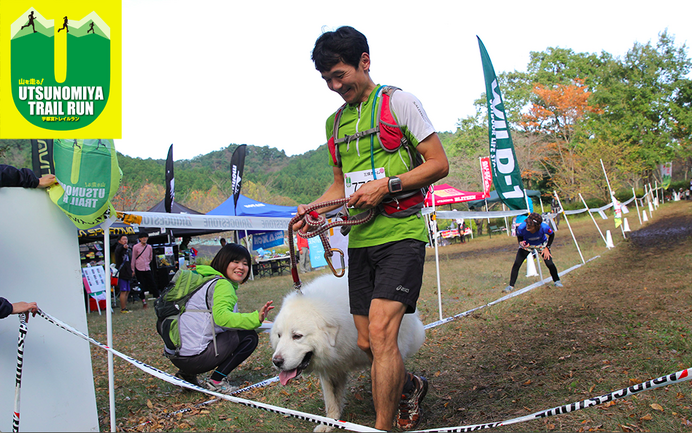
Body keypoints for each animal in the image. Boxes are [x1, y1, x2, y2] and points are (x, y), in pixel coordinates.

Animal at [268, 272, 422, 430]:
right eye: (279, 335)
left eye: (297, 336)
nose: (276, 361)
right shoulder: (332, 366)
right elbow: (331, 399)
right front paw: (330, 422)